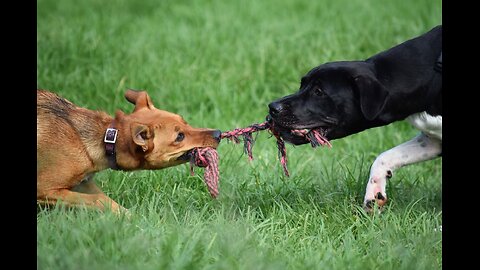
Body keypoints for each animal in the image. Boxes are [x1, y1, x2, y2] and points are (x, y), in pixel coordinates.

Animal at [37, 89, 221, 214]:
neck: (104, 139)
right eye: (179, 136)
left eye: (185, 122)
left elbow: (102, 197)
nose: (218, 134)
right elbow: (99, 200)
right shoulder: (45, 189)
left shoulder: (84, 183)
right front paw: (130, 217)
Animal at [268, 25, 440, 211]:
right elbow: (384, 157)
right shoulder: (432, 141)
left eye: (319, 91)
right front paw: (374, 196)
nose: (272, 107)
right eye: (302, 85)